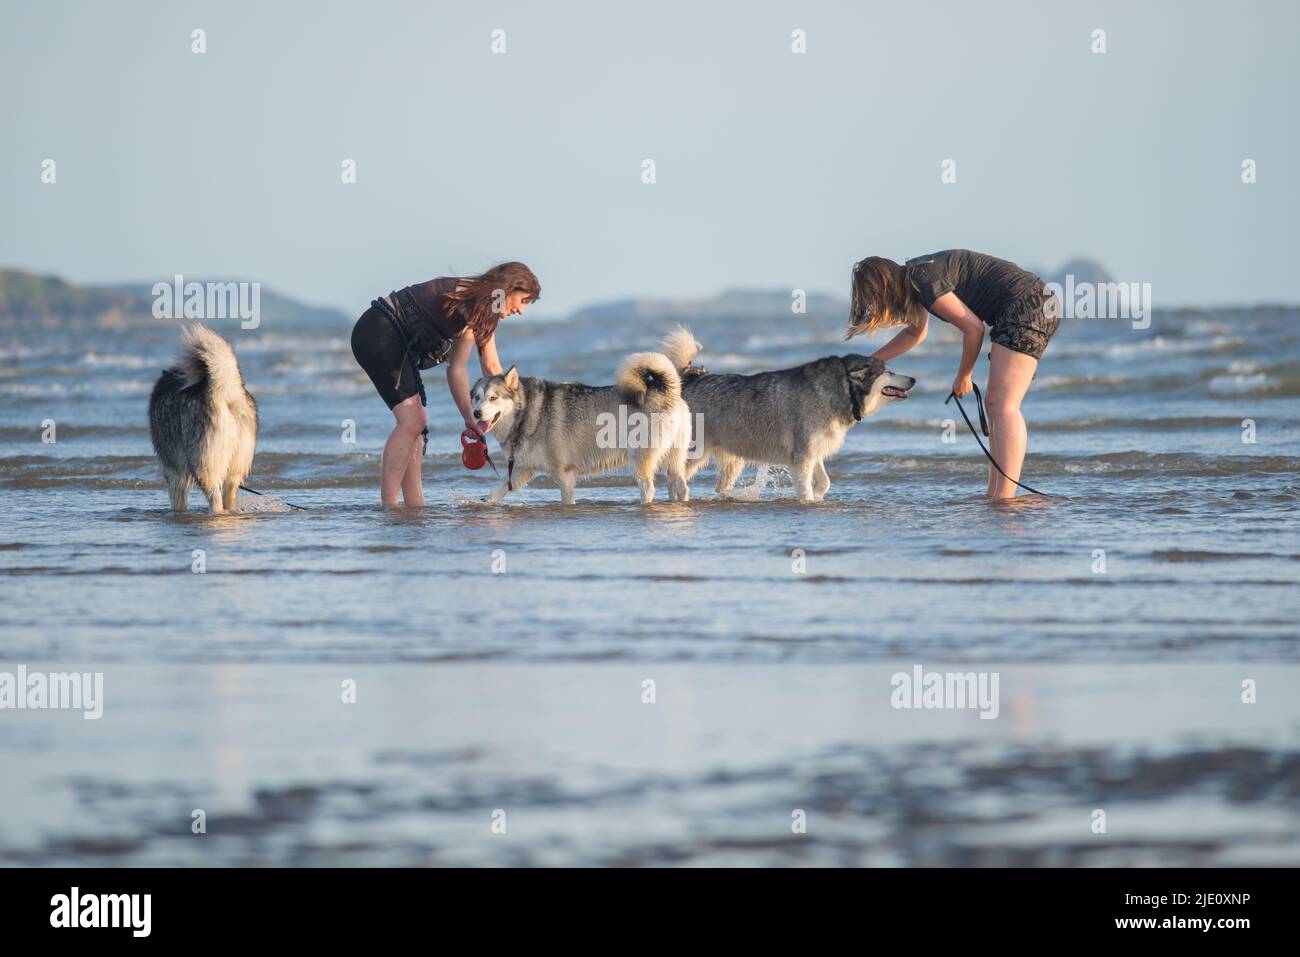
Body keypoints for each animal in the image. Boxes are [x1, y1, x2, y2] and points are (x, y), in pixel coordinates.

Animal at [148, 321, 257, 512]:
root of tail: (224, 391)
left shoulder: (173, 470)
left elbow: (177, 499)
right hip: (235, 467)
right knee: (229, 494)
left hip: (204, 465)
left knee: (215, 499)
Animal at [467, 353, 691, 509]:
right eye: (476, 397)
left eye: (493, 398)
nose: (476, 413)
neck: (528, 412)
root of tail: (667, 390)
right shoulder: (522, 470)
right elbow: (497, 491)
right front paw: (482, 504)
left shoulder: (564, 474)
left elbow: (567, 500)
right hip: (673, 459)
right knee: (680, 486)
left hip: (640, 459)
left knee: (648, 489)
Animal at [660, 327, 915, 504]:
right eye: (889, 372)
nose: (913, 379)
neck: (840, 389)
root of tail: (692, 378)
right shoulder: (802, 457)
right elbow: (806, 489)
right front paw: (808, 501)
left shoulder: (811, 452)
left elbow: (824, 482)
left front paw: (819, 495)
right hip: (694, 453)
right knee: (673, 477)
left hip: (733, 459)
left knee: (716, 485)